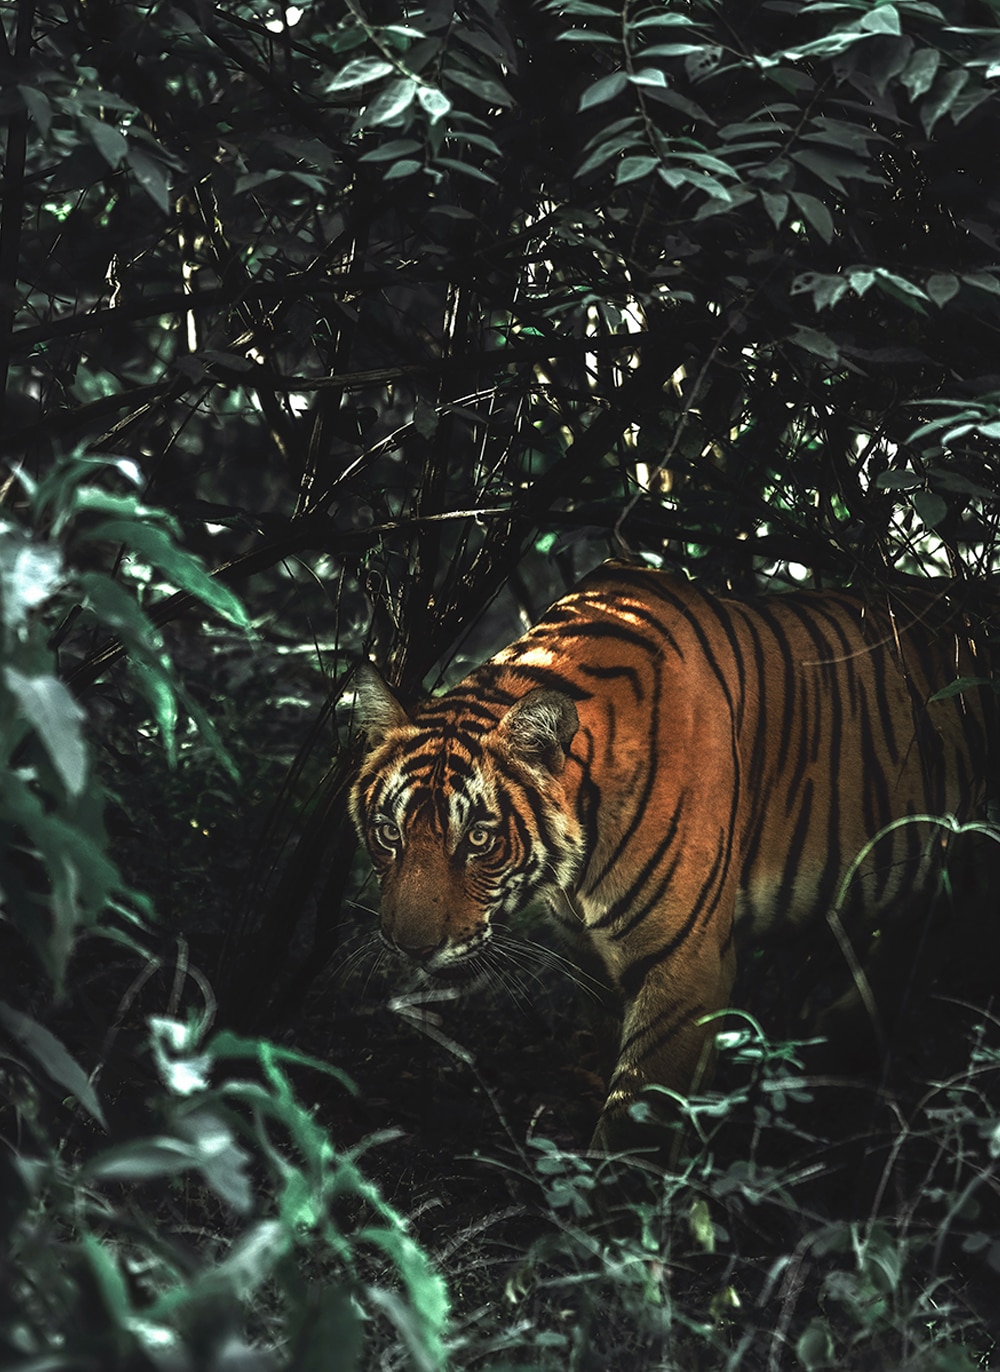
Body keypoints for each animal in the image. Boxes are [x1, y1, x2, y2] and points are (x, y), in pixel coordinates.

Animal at [347, 562, 993, 1152]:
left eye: (479, 839)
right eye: (387, 832)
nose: (410, 947)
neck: (574, 870)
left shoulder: (684, 968)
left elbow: (637, 1123)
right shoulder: (589, 956)